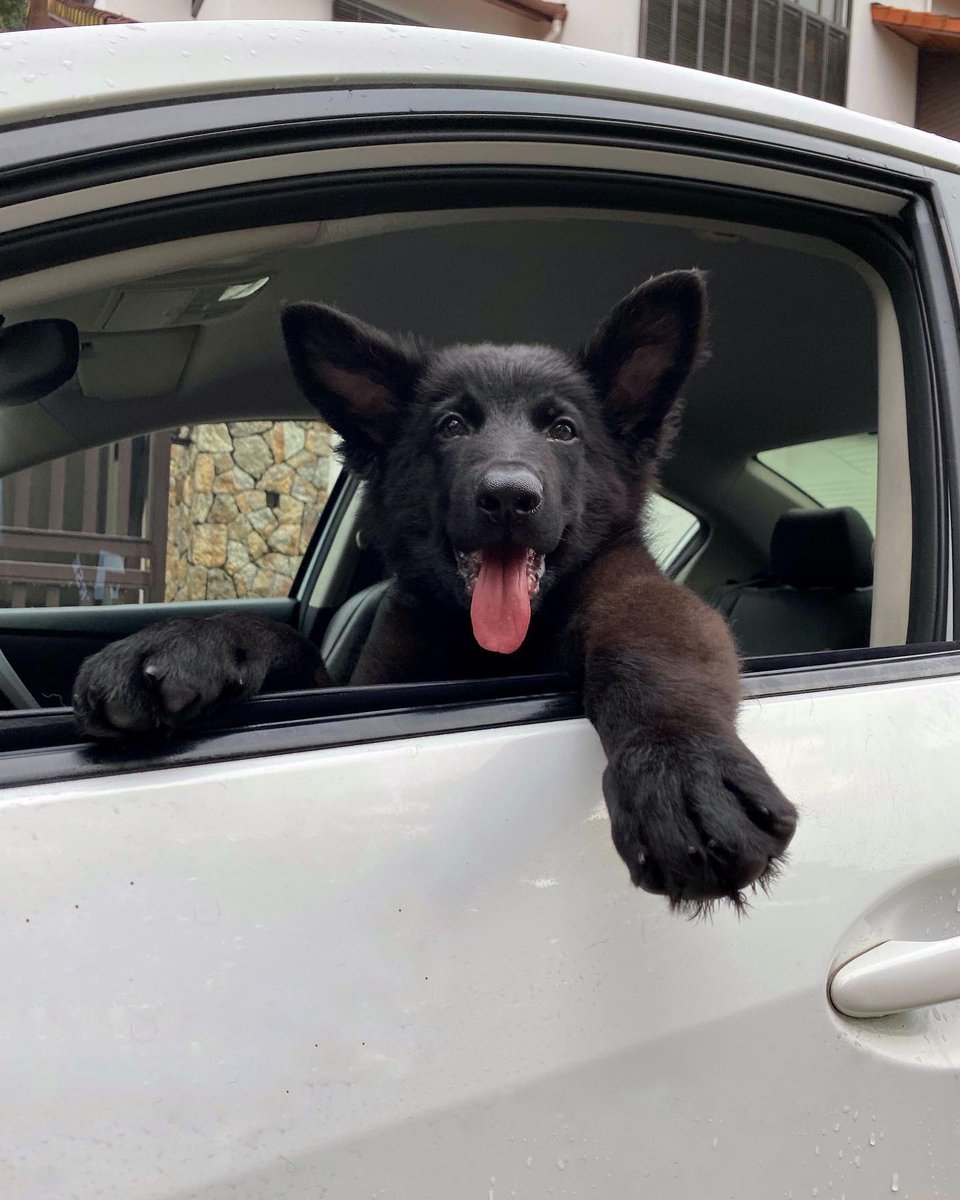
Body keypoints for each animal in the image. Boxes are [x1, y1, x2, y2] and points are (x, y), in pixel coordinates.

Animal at [73, 270, 796, 907]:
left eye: (563, 429)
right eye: (452, 426)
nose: (509, 498)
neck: (493, 644)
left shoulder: (637, 593)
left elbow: (648, 642)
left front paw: (680, 769)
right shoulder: (363, 683)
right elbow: (282, 639)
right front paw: (181, 645)